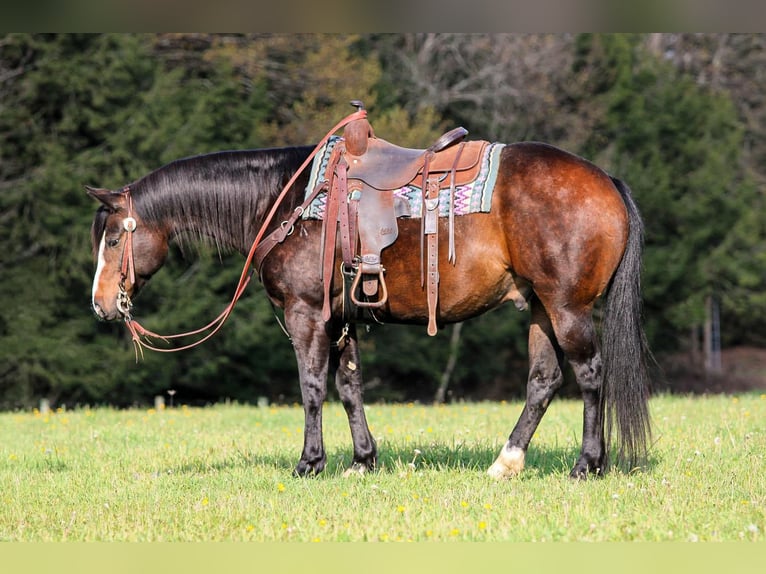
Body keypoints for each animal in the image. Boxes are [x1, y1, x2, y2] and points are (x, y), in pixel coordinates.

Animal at [87, 137, 652, 480]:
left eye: (114, 238)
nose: (101, 305)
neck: (287, 201)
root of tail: (607, 181)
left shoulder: (306, 315)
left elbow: (312, 388)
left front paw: (309, 463)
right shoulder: (341, 319)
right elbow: (349, 387)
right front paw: (362, 460)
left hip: (567, 307)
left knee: (590, 374)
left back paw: (587, 464)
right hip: (539, 307)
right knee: (543, 380)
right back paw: (506, 463)